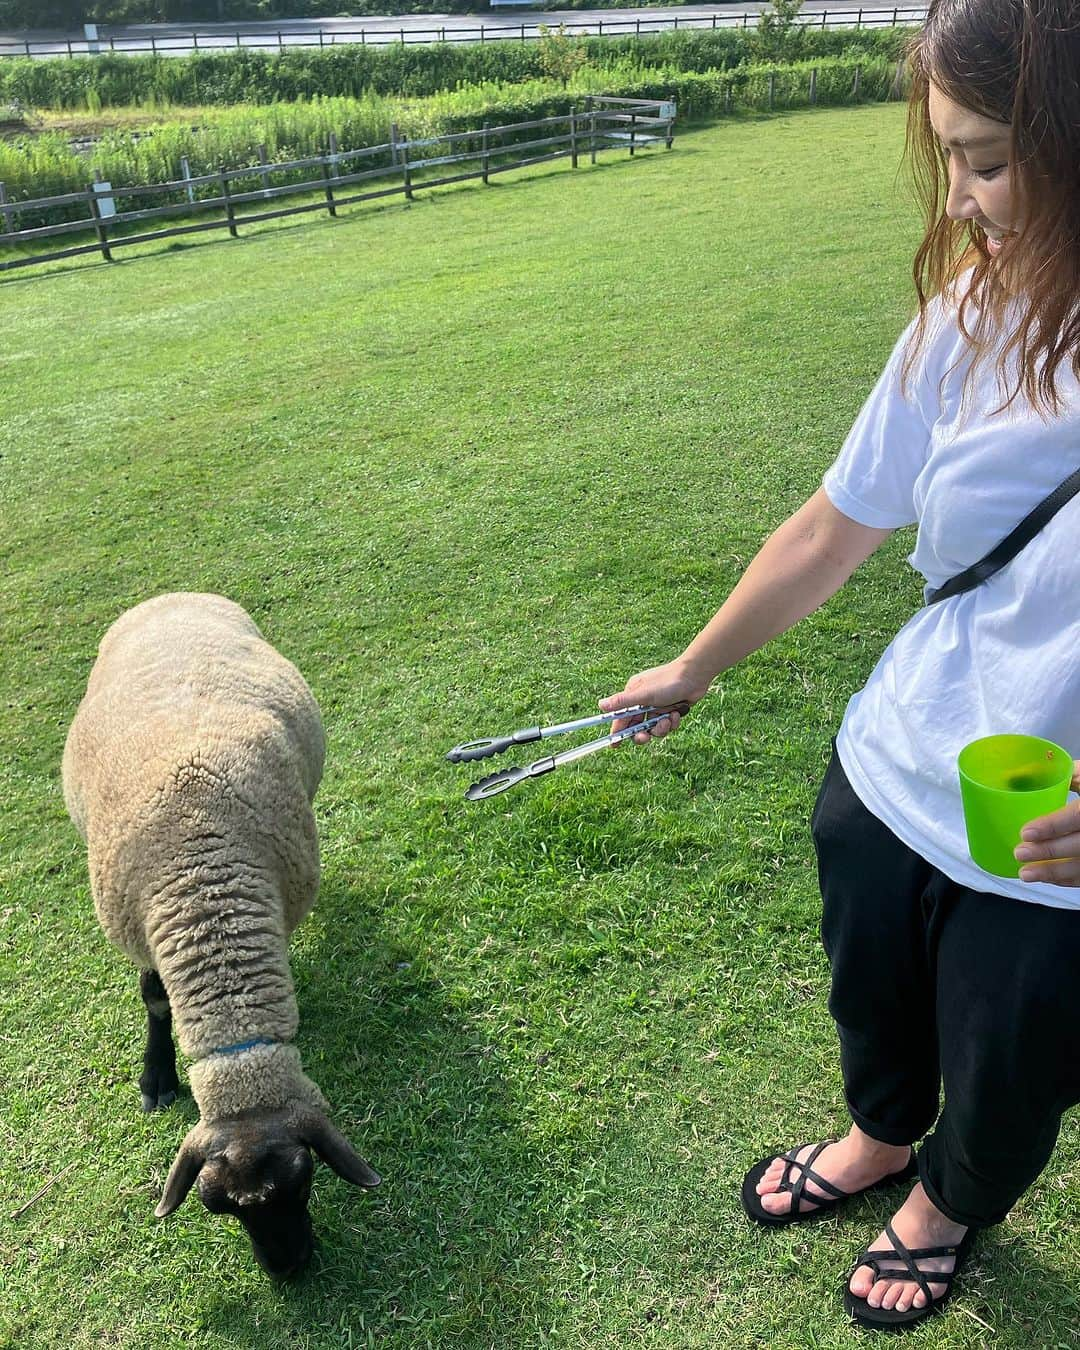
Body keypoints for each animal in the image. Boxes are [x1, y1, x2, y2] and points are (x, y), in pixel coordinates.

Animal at [61, 591, 380, 1274]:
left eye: (304, 1183)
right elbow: (155, 1001)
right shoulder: (140, 930)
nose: (288, 1272)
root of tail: (167, 594)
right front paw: (156, 1077)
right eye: (219, 1209)